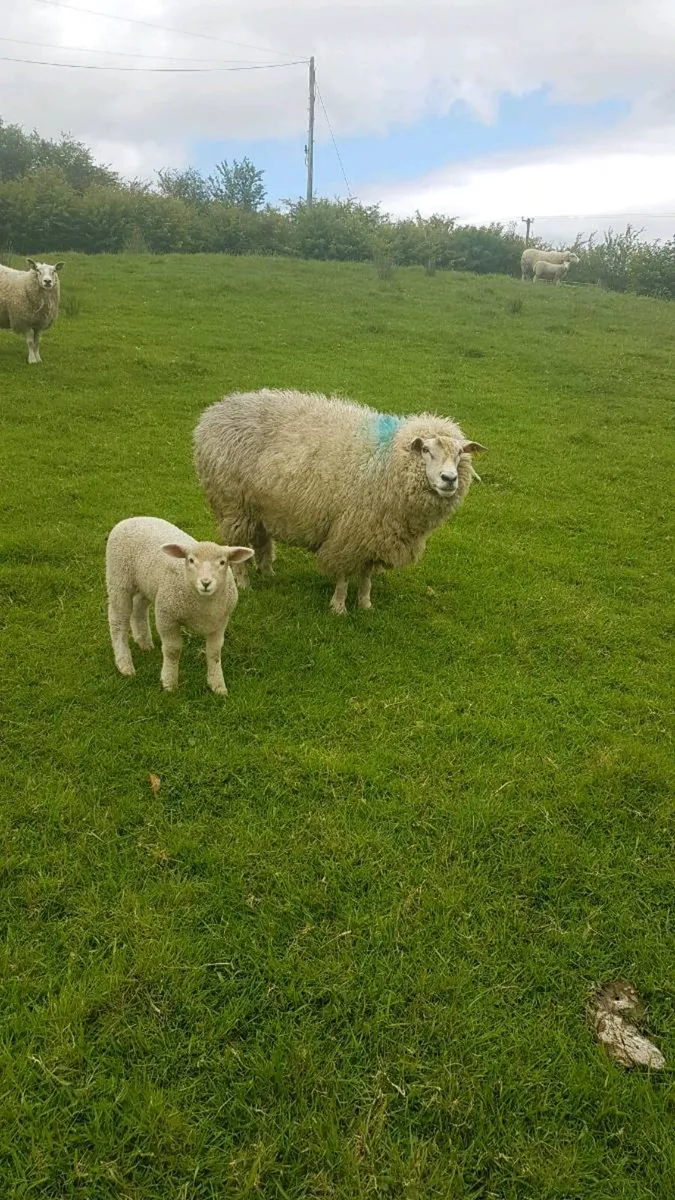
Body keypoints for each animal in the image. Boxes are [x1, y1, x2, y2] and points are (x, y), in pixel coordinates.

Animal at [105, 517, 254, 694]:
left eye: (223, 562)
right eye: (191, 560)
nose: (205, 583)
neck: (203, 605)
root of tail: (131, 518)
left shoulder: (220, 623)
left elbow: (214, 653)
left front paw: (217, 685)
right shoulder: (166, 616)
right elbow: (173, 650)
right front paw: (169, 683)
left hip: (147, 584)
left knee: (139, 607)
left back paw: (145, 643)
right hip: (119, 579)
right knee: (118, 621)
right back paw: (125, 664)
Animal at [194, 389, 486, 615]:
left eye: (460, 454)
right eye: (425, 450)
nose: (449, 479)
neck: (388, 461)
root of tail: (215, 411)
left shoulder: (372, 534)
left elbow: (366, 575)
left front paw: (366, 604)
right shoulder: (349, 533)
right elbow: (345, 575)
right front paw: (339, 607)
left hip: (259, 506)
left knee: (262, 540)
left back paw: (268, 573)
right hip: (234, 504)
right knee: (238, 546)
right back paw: (245, 583)